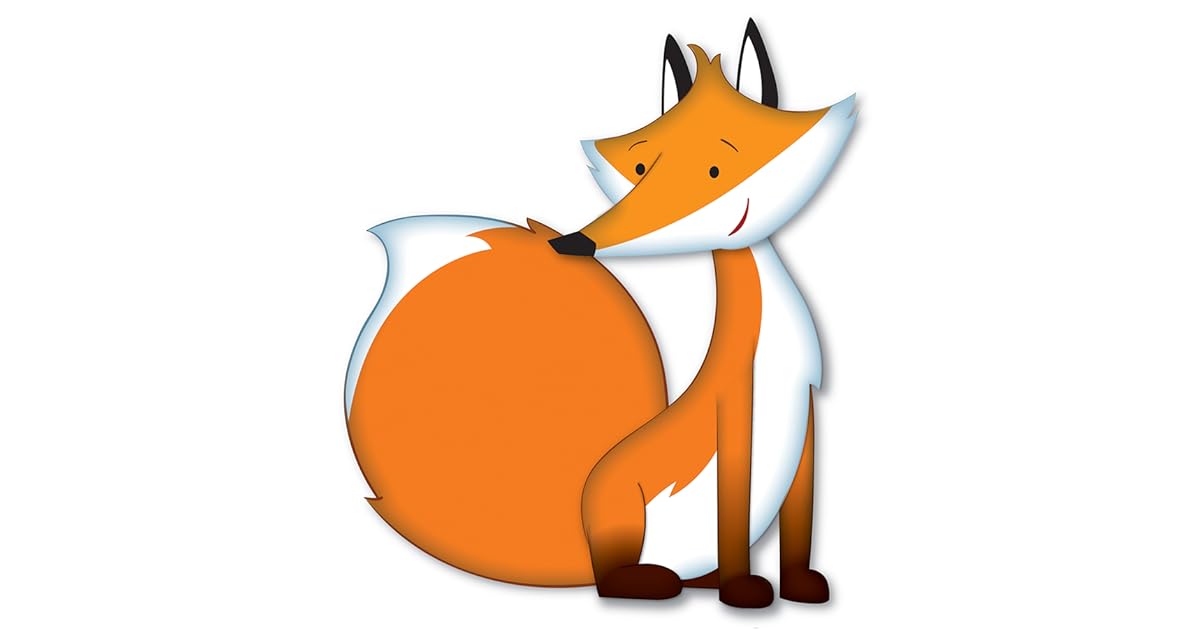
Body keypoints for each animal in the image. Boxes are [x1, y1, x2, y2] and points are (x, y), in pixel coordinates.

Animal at [344, 19, 856, 608]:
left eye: (714, 169)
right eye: (639, 168)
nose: (577, 242)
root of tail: (583, 545)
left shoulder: (808, 419)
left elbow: (799, 525)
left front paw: (799, 587)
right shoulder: (734, 422)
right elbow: (733, 523)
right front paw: (743, 591)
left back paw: (697, 583)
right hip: (625, 510)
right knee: (614, 580)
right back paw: (656, 582)